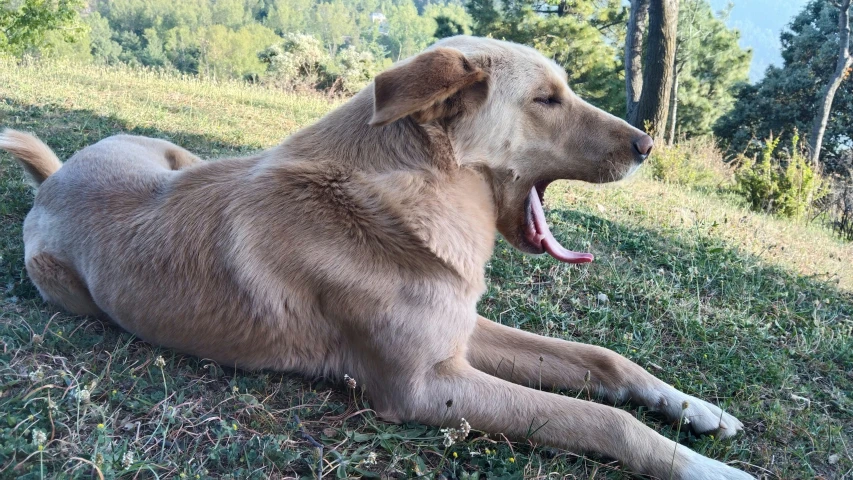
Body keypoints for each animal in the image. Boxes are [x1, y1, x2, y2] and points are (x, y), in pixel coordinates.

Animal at [5, 37, 752, 480]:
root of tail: (54, 179)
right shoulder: (425, 386)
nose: (647, 146)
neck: (413, 194)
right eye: (546, 99)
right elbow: (600, 417)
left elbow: (603, 360)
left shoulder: (462, 329)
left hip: (176, 155)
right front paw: (708, 468)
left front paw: (694, 410)